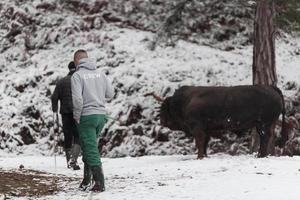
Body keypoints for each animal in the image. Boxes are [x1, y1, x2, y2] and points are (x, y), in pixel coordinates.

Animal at [157, 85, 286, 159]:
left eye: (164, 108)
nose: (162, 121)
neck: (184, 101)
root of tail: (273, 89)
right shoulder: (206, 130)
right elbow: (205, 142)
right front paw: (204, 156)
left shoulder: (197, 128)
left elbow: (200, 142)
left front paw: (199, 157)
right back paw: (260, 155)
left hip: (263, 124)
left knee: (265, 137)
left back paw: (260, 156)